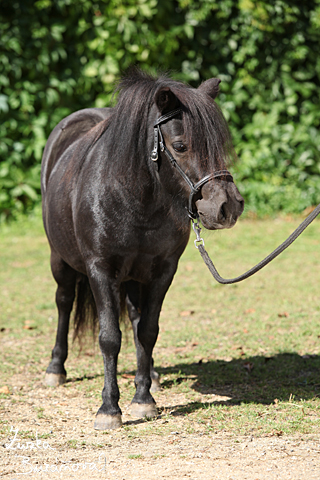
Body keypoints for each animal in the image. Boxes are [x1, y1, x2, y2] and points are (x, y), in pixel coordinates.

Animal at [41, 69, 244, 430]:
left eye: (219, 145)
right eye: (180, 146)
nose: (228, 207)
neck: (133, 197)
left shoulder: (162, 271)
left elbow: (148, 330)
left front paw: (143, 399)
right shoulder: (100, 270)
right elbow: (110, 337)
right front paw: (109, 409)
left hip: (136, 277)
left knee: (136, 320)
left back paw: (151, 375)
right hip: (60, 260)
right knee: (64, 302)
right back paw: (56, 369)